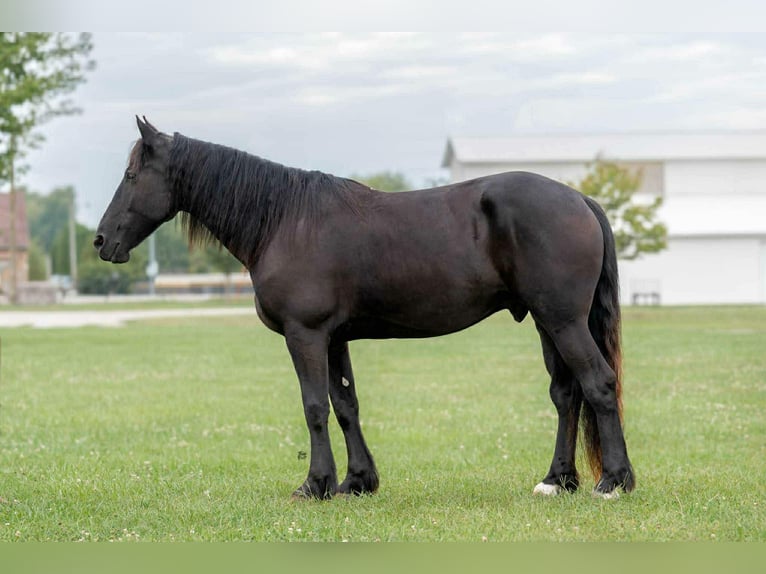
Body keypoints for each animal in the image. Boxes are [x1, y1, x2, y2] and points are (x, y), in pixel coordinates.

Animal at [94, 117, 635, 500]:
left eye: (130, 174)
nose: (101, 240)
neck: (284, 221)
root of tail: (580, 200)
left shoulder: (306, 334)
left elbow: (314, 406)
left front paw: (314, 485)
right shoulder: (334, 338)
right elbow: (345, 405)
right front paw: (356, 481)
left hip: (563, 321)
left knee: (598, 383)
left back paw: (614, 481)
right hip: (547, 323)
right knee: (566, 394)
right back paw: (557, 480)